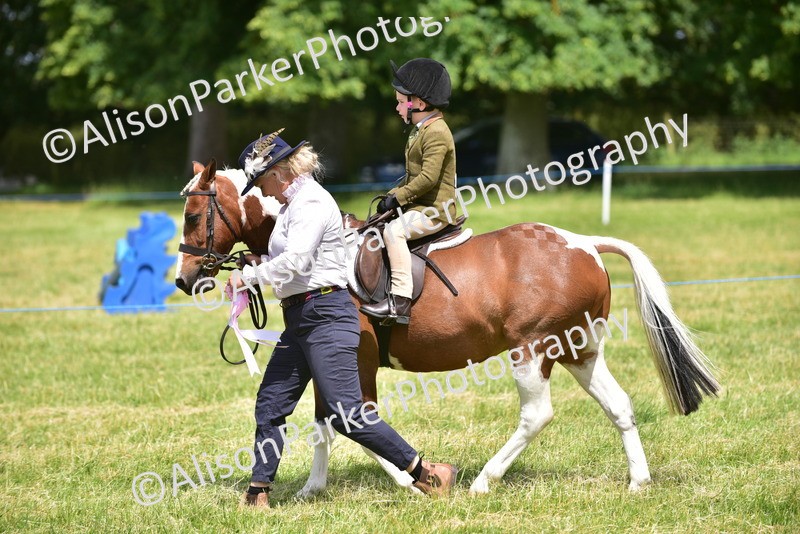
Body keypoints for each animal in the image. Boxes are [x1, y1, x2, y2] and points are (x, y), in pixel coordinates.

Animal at [175, 160, 720, 496]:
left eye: (195, 214)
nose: (184, 279)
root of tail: (584, 243)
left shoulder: (357, 358)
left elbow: (355, 417)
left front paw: (409, 480)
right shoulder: (316, 357)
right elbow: (324, 422)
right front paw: (314, 487)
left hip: (533, 349)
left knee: (537, 415)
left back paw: (484, 481)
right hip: (578, 350)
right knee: (619, 405)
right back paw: (637, 482)